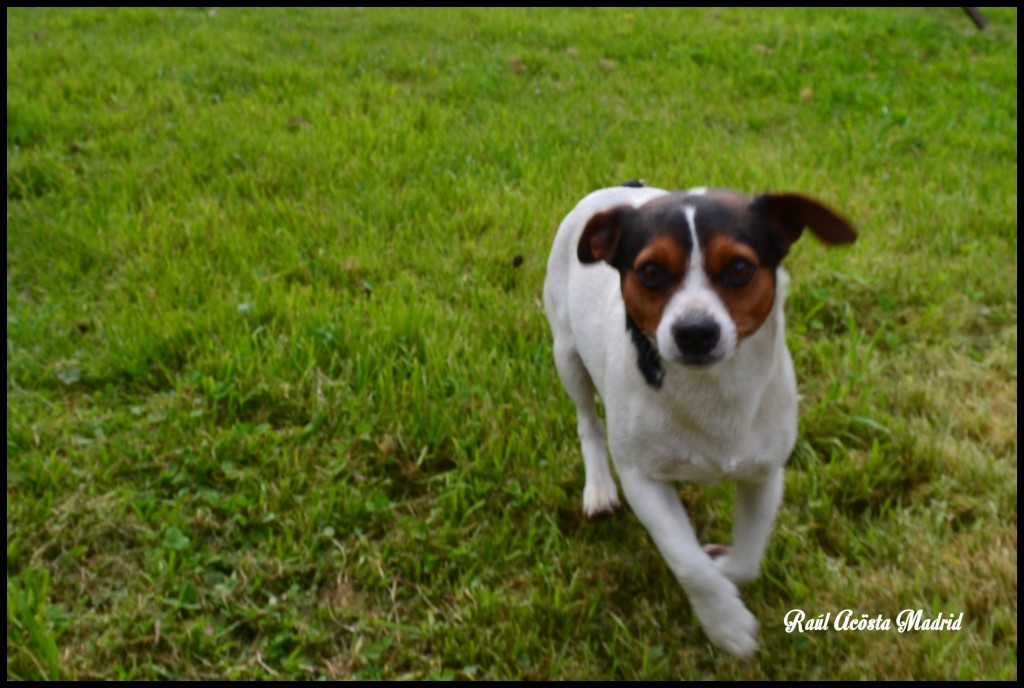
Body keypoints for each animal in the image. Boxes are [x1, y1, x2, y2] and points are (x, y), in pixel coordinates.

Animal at [544, 181, 856, 655]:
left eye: (740, 268)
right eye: (651, 272)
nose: (694, 332)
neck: (712, 386)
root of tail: (626, 187)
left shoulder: (765, 473)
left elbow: (747, 557)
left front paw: (725, 571)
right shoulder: (643, 480)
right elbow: (687, 562)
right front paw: (725, 623)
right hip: (567, 353)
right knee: (587, 421)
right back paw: (598, 487)